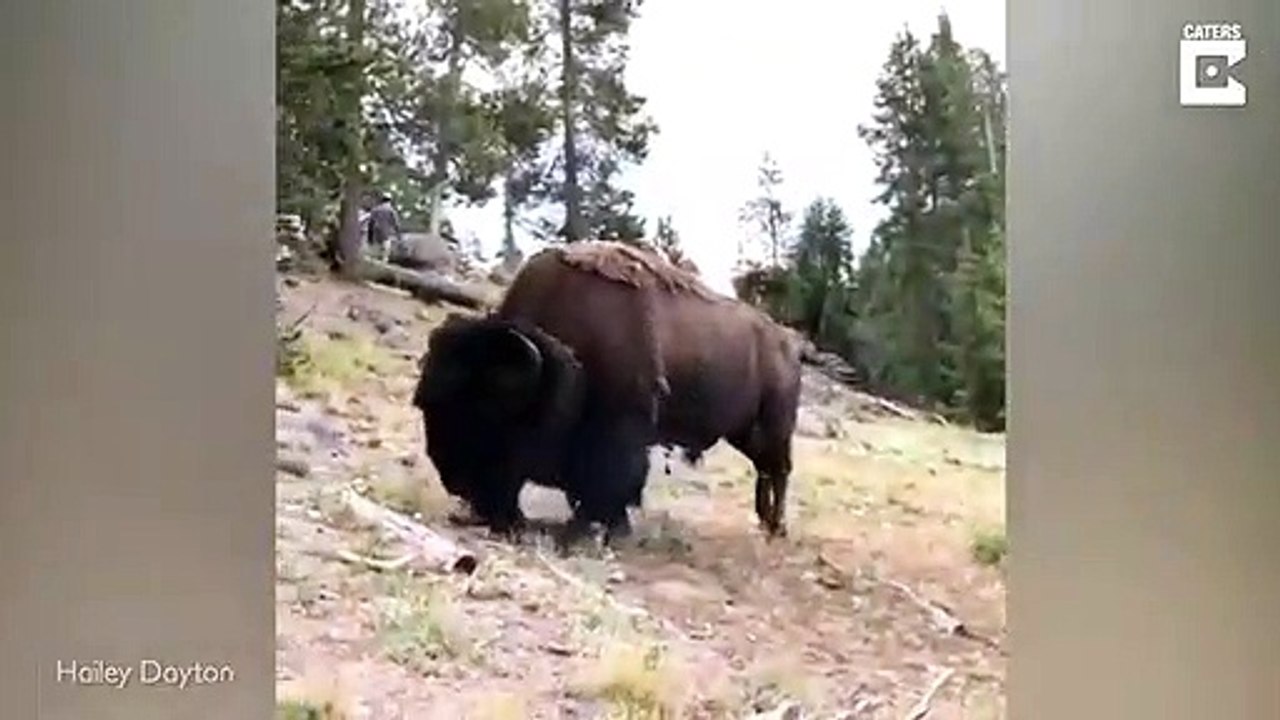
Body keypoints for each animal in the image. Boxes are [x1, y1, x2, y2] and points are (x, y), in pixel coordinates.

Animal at [412, 241, 804, 549]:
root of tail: (788, 343)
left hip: (773, 430)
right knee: (766, 472)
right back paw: (765, 524)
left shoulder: (618, 429)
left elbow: (611, 481)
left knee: (779, 472)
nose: (453, 478)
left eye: (484, 409)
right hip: (746, 434)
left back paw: (776, 528)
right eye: (427, 404)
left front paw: (598, 529)